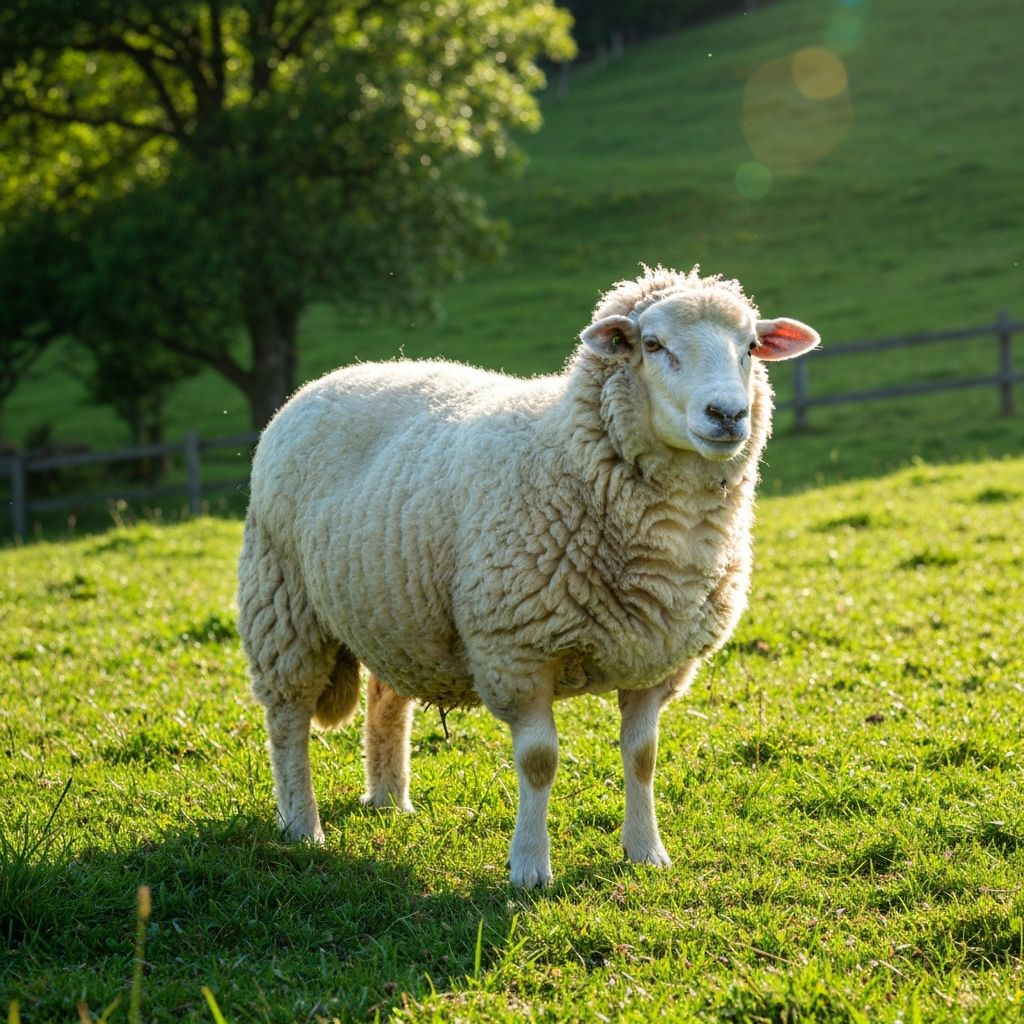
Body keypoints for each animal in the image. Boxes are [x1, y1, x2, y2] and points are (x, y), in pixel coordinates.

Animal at [237, 265, 819, 888]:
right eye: (652, 344)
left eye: (751, 346)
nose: (728, 415)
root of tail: (329, 379)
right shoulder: (516, 651)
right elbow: (539, 762)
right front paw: (530, 867)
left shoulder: (654, 657)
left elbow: (643, 757)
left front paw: (646, 852)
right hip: (282, 598)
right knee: (288, 719)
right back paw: (302, 824)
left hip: (396, 611)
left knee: (386, 700)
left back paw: (390, 800)